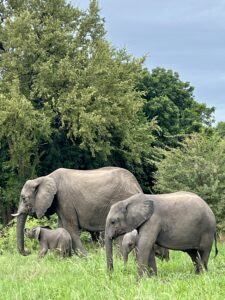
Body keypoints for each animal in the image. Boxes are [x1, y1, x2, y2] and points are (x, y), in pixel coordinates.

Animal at [11, 166, 142, 255]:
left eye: (24, 198)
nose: (28, 251)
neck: (45, 177)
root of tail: (137, 186)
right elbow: (62, 227)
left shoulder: (64, 199)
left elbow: (70, 228)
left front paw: (87, 258)